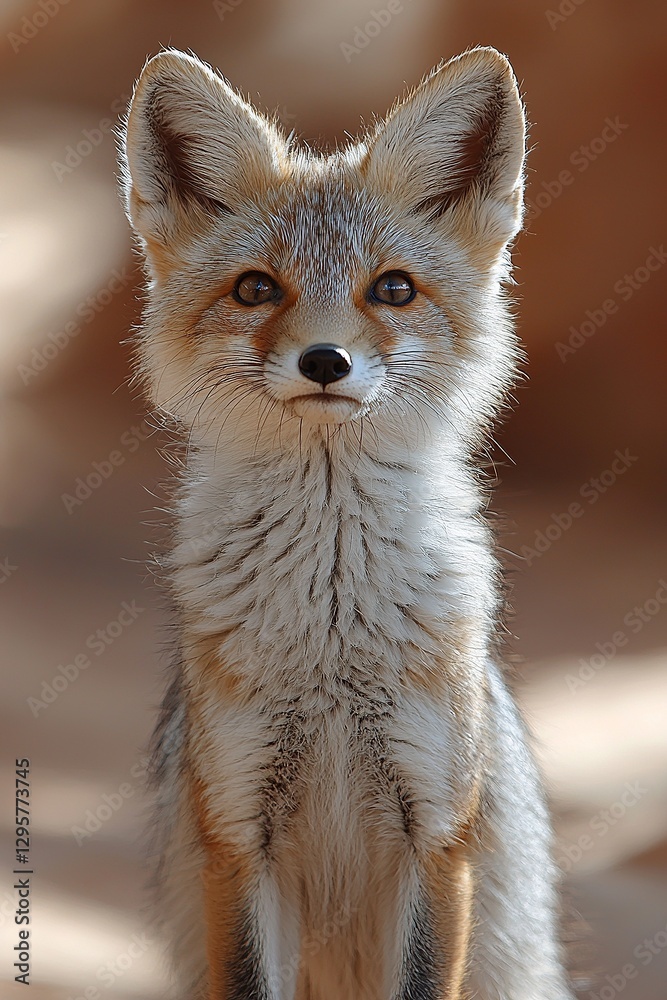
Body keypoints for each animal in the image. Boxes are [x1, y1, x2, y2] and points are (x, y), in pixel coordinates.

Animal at [120, 46, 575, 1000]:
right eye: (256, 289)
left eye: (392, 289)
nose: (323, 361)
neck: (331, 643)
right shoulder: (237, 833)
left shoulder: (436, 833)